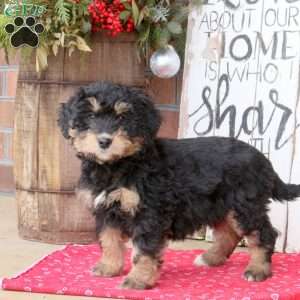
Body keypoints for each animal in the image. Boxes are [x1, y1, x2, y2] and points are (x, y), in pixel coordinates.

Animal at [58, 81, 300, 290]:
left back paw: (257, 270)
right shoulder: (105, 210)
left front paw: (138, 280)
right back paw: (210, 258)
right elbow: (109, 241)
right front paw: (109, 267)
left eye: (123, 117)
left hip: (244, 204)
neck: (118, 164)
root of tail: (263, 160)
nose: (104, 141)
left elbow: (144, 249)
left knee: (263, 234)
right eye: (90, 115)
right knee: (228, 234)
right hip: (220, 205)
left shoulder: (150, 212)